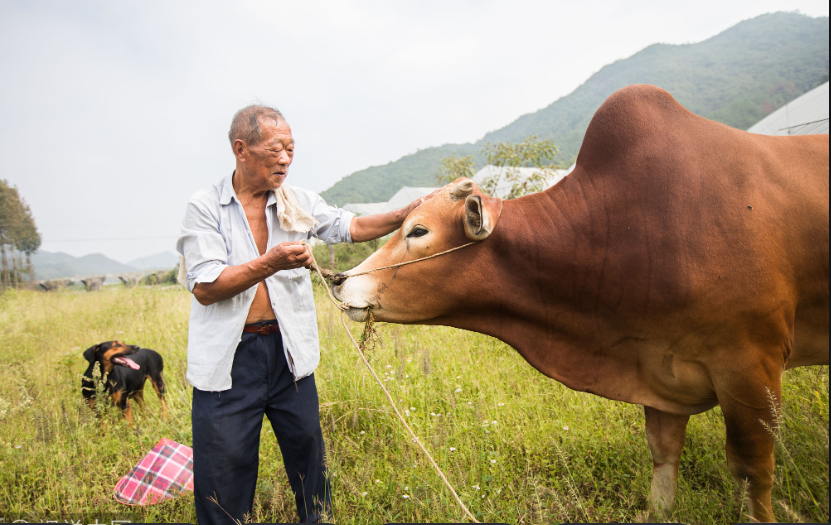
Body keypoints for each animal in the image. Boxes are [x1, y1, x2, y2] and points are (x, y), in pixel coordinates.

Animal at [334, 83, 831, 520]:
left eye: (418, 229)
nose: (340, 280)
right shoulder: (657, 366)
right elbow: (663, 454)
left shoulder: (751, 366)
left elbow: (752, 472)